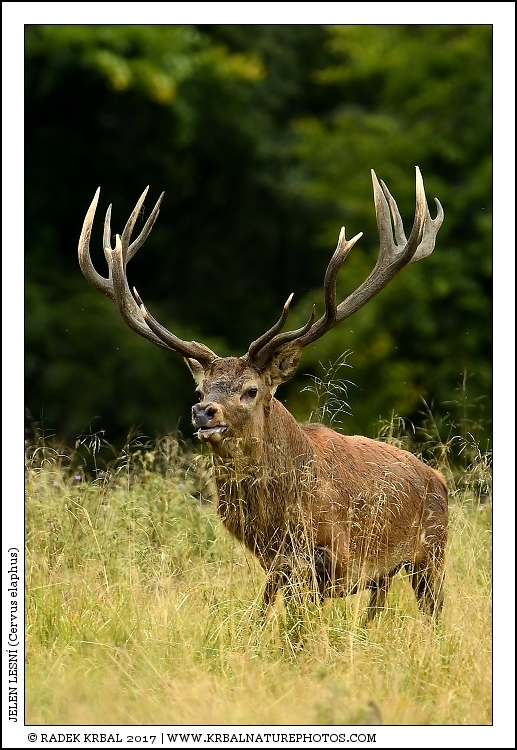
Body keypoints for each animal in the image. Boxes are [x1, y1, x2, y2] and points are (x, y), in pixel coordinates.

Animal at [78, 167, 447, 621]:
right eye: (200, 387)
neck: (282, 512)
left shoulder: (331, 556)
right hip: (389, 572)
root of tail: (438, 478)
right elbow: (260, 615)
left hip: (432, 552)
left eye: (251, 390)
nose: (204, 411)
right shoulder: (277, 560)